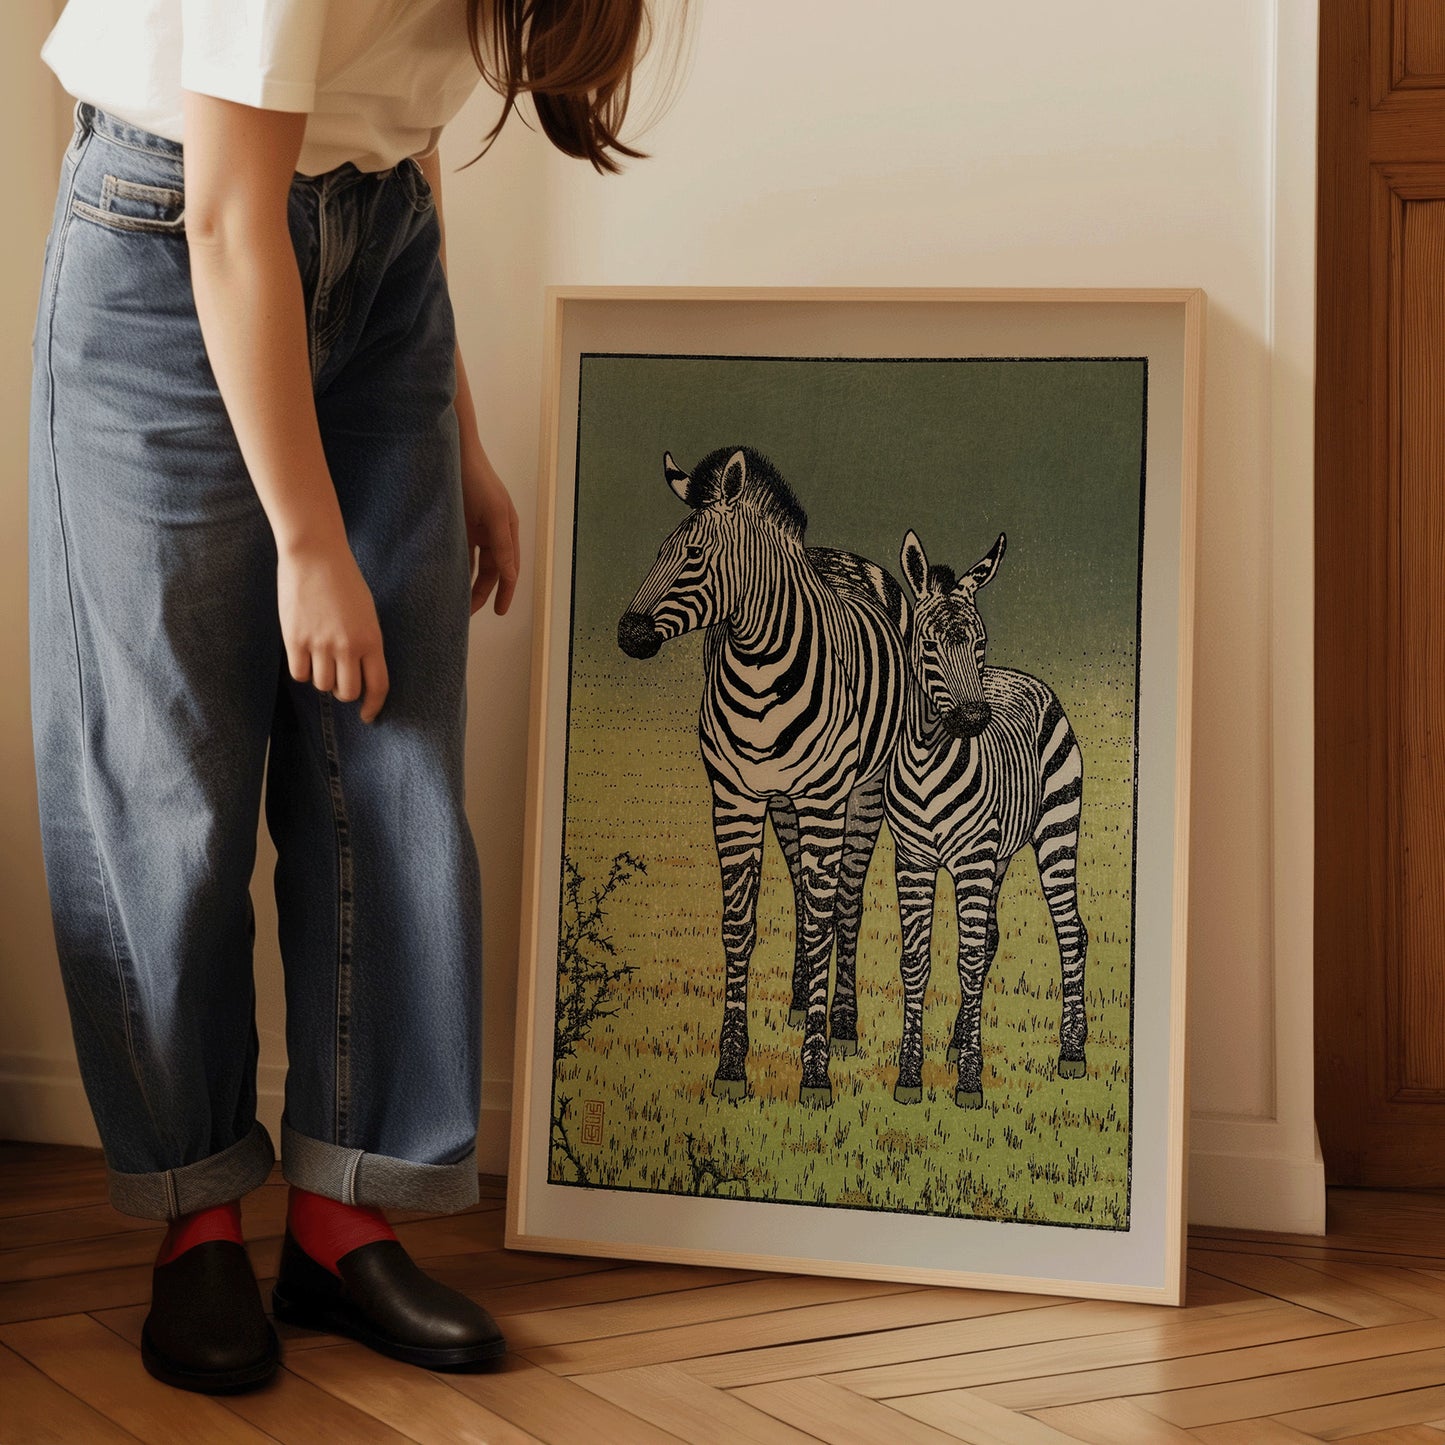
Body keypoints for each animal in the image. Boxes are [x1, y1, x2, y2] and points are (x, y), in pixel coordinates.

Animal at [618, 445, 901, 1098]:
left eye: (694, 555)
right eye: (659, 551)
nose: (628, 634)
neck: (759, 668)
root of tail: (835, 554)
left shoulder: (825, 797)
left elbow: (827, 916)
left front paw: (816, 1071)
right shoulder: (734, 798)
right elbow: (738, 925)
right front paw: (730, 1064)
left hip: (864, 792)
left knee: (843, 902)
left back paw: (842, 1023)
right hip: (783, 804)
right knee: (801, 888)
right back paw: (800, 998)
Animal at [884, 528, 1086, 1103]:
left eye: (979, 644)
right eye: (928, 646)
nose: (975, 718)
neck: (927, 755)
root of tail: (1022, 679)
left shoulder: (971, 860)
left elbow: (969, 959)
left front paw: (970, 1080)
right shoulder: (913, 861)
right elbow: (917, 961)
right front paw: (910, 1075)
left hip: (1055, 832)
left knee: (1071, 933)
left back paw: (1072, 1051)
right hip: (996, 856)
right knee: (992, 935)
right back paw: (958, 1040)